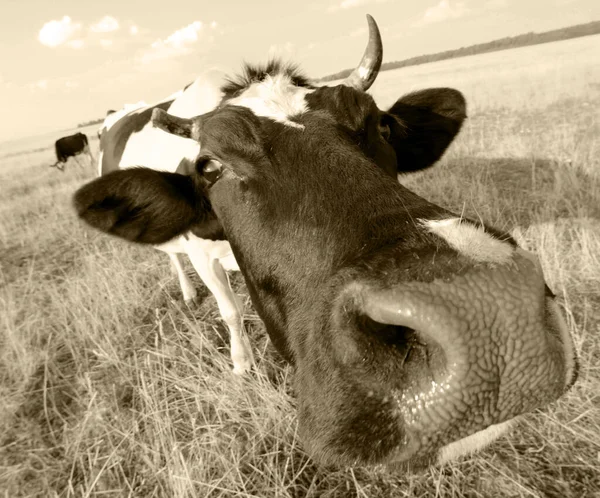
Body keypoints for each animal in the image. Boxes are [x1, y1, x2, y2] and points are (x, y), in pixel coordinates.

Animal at [71, 13, 576, 468]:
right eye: (210, 166)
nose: (487, 309)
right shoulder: (201, 253)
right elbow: (230, 311)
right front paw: (241, 366)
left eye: (382, 125)